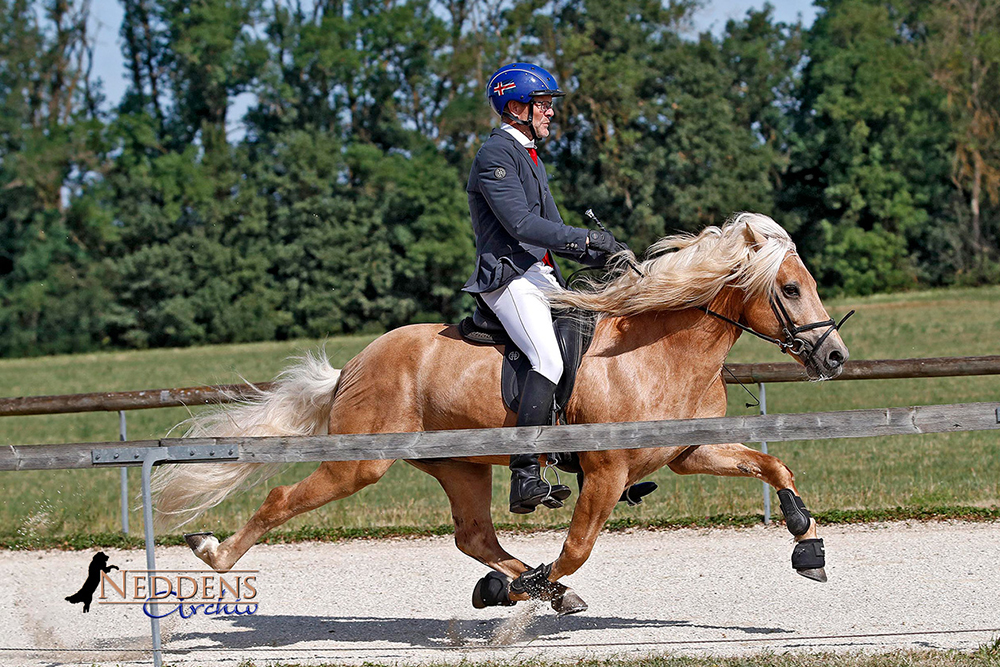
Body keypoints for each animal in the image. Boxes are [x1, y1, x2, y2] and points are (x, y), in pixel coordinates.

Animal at [150, 214, 852, 616]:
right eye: (791, 289)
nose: (835, 356)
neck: (656, 353)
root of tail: (356, 364)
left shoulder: (690, 451)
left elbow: (772, 465)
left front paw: (807, 541)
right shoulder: (605, 473)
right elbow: (575, 548)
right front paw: (531, 588)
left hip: (462, 465)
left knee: (474, 536)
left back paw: (514, 585)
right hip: (362, 463)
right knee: (279, 499)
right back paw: (213, 553)